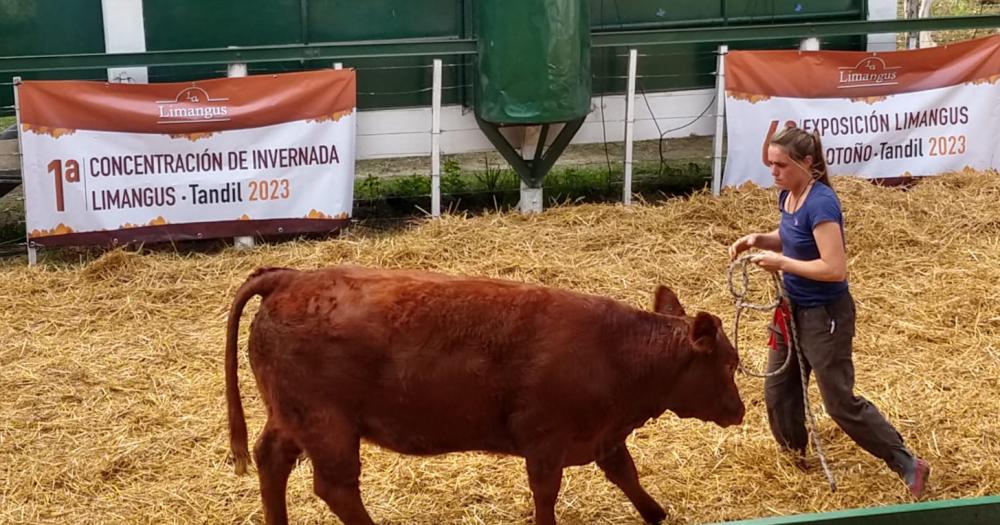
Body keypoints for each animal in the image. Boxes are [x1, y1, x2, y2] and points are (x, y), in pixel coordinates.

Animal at [227, 266, 744, 524]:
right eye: (728, 364)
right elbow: (546, 495)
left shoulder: (603, 435)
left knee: (272, 458)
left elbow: (625, 474)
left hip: (292, 415)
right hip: (328, 425)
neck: (615, 349)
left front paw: (655, 514)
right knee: (335, 487)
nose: (739, 410)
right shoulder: (545, 441)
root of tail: (291, 277)